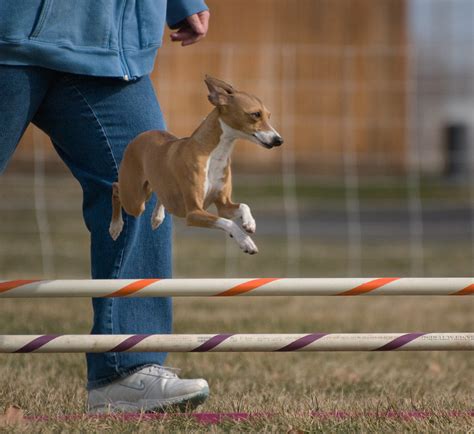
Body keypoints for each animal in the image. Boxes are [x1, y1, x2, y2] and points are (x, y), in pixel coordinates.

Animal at [109, 75, 284, 254]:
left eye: (268, 116)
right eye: (255, 114)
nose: (278, 140)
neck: (213, 155)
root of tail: (140, 136)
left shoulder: (224, 205)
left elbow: (243, 205)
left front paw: (249, 223)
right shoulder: (194, 213)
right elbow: (227, 222)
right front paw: (245, 241)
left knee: (159, 194)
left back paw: (157, 216)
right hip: (134, 200)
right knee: (115, 188)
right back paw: (116, 226)